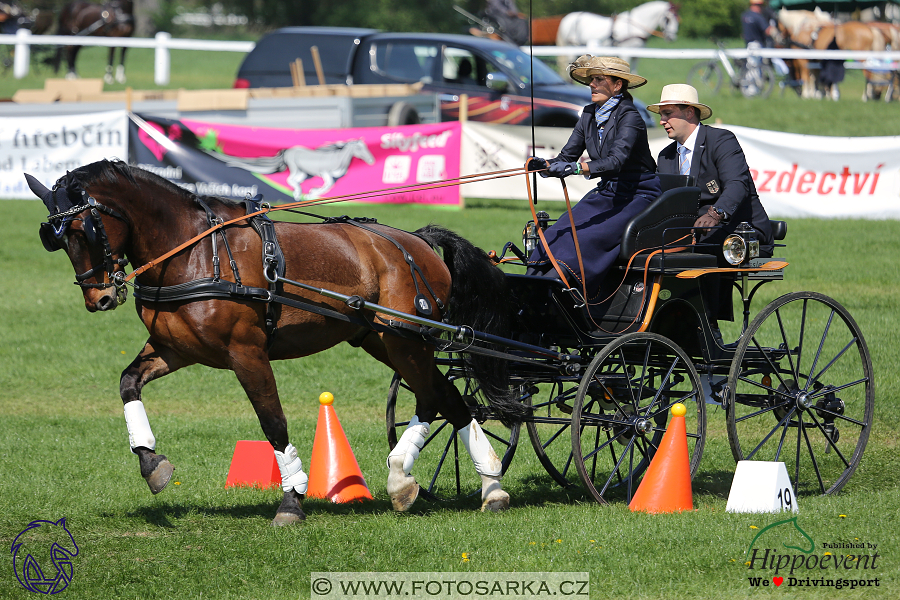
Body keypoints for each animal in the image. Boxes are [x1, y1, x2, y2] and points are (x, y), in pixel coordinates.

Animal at [28, 159, 524, 524]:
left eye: (86, 230)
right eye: (54, 238)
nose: (99, 297)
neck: (194, 250)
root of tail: (416, 241)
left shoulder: (246, 353)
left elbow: (273, 423)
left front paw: (291, 500)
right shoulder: (175, 350)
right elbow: (128, 383)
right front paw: (152, 464)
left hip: (405, 341)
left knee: (449, 400)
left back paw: (488, 487)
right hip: (383, 339)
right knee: (437, 397)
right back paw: (414, 481)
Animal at [216, 138, 374, 199]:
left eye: (365, 147)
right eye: (359, 148)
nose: (371, 160)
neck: (337, 159)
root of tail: (288, 151)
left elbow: (329, 185)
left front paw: (312, 192)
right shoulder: (324, 172)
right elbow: (329, 183)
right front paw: (311, 194)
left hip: (302, 172)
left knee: (295, 180)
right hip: (295, 167)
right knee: (290, 180)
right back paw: (298, 194)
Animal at [552, 1, 680, 72]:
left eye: (678, 18)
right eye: (668, 19)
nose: (672, 37)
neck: (634, 26)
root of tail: (568, 18)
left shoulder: (636, 56)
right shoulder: (626, 53)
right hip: (571, 49)